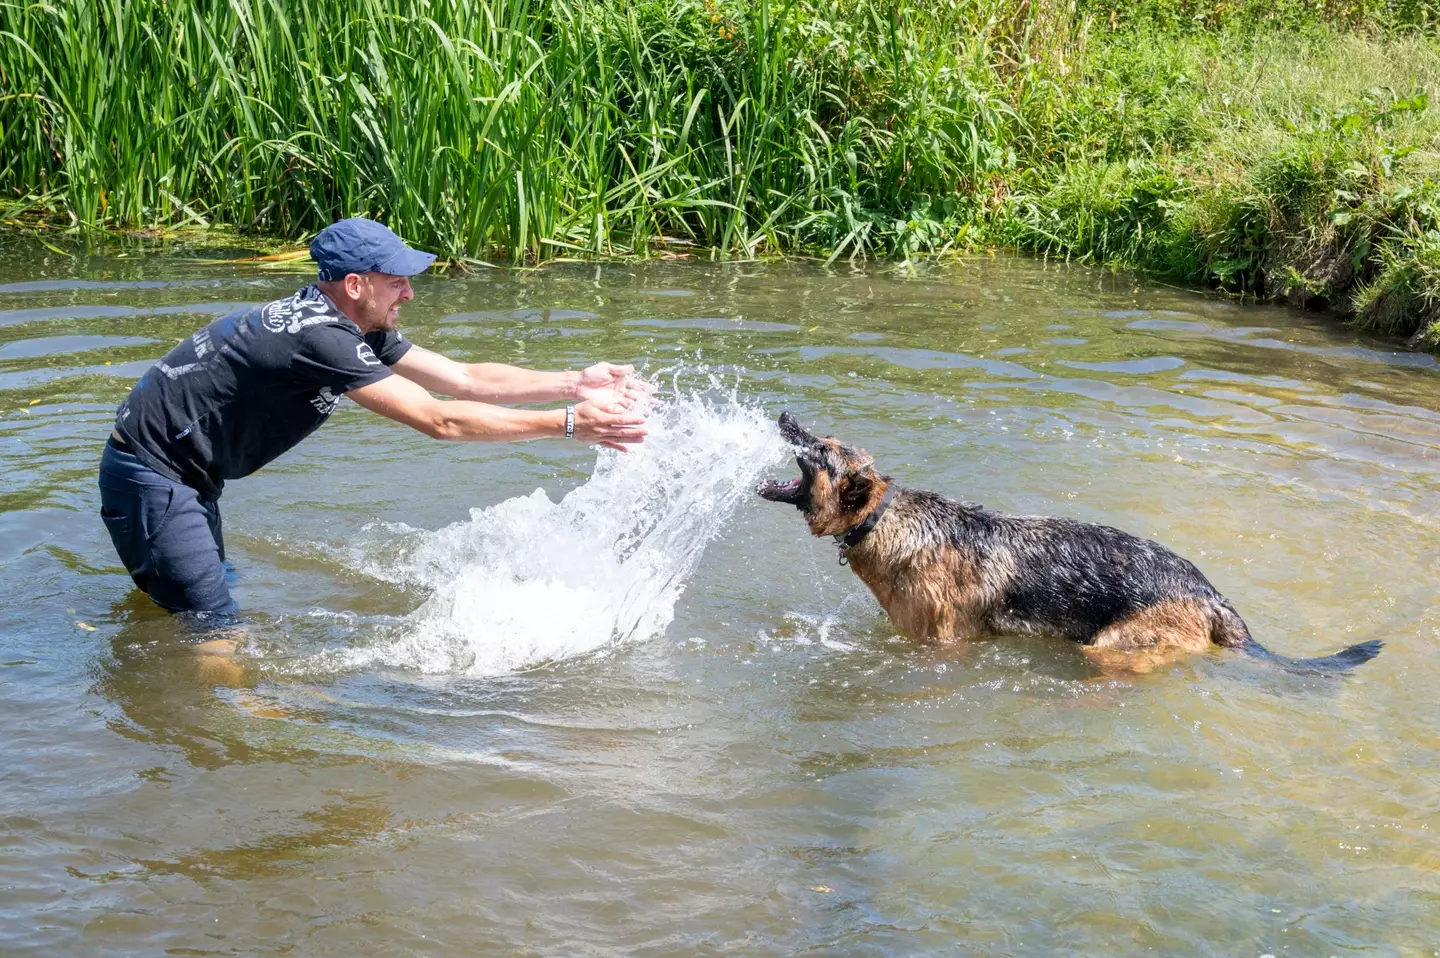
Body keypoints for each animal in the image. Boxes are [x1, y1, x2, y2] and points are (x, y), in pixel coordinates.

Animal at [760, 412, 1388, 671]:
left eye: (819, 448)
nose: (784, 415)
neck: (888, 520)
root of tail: (1212, 595)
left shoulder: (942, 644)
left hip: (1114, 646)